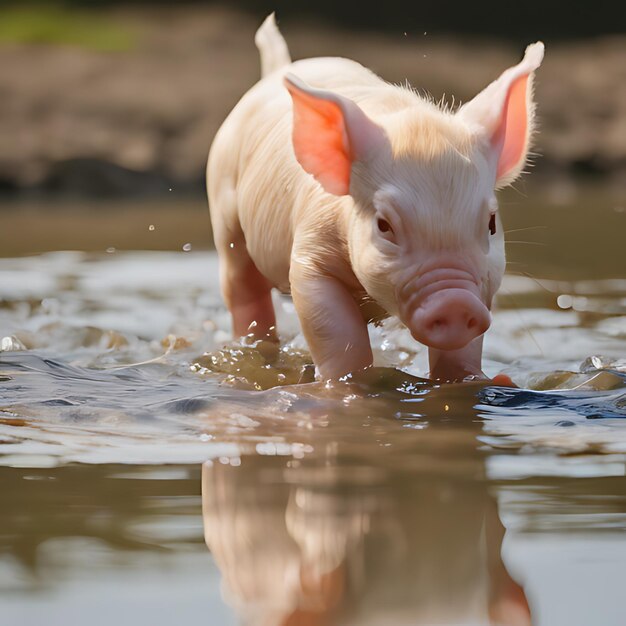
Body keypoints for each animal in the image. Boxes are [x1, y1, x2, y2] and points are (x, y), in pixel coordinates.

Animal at [208, 14, 540, 380]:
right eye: (384, 225)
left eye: (491, 224)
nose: (455, 301)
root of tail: (276, 69)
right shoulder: (310, 253)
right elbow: (335, 331)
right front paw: (347, 384)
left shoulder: (484, 285)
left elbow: (462, 349)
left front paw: (483, 380)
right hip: (223, 203)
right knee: (241, 284)